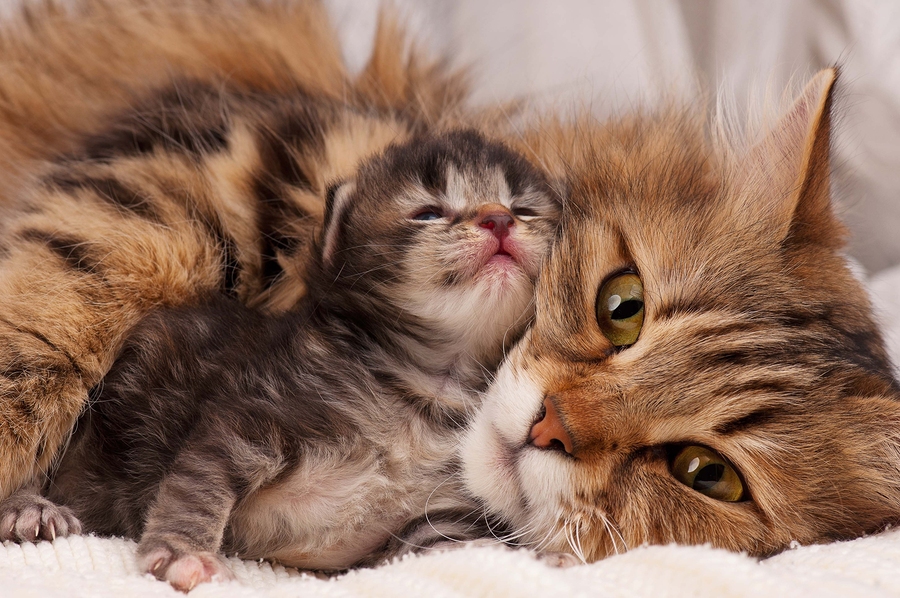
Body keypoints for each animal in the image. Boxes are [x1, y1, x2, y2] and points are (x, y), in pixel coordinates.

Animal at [0, 129, 560, 592]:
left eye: (524, 209)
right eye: (427, 212)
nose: (498, 219)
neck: (430, 383)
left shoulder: (433, 508)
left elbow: (443, 541)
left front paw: (510, 556)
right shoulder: (255, 419)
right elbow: (200, 483)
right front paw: (184, 552)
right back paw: (30, 509)